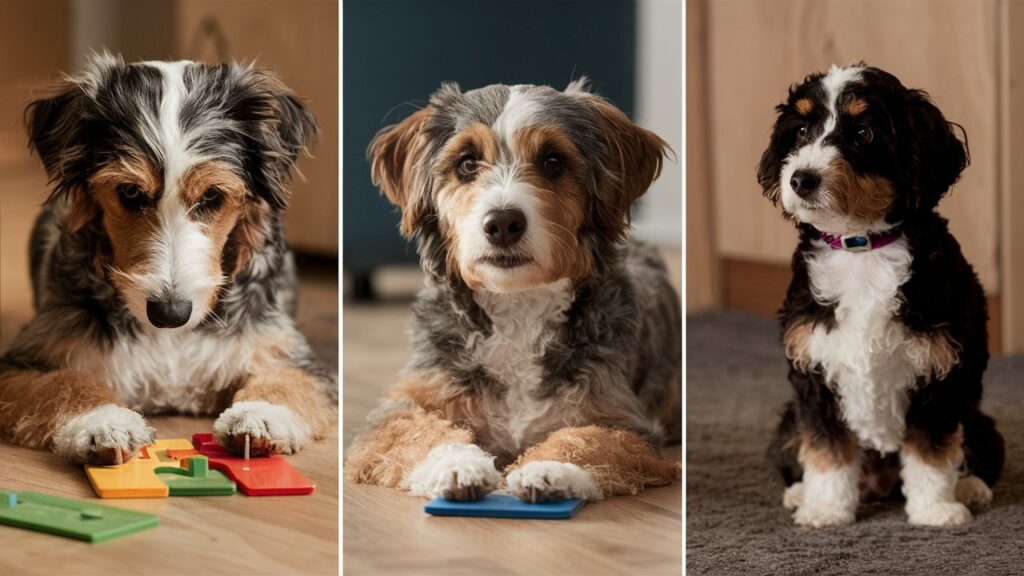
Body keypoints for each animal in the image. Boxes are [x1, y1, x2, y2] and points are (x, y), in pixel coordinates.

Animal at [0, 53, 335, 463]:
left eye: (212, 196)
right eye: (129, 192)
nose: (170, 313)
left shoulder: (290, 355)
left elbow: (286, 381)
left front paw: (260, 416)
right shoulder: (23, 364)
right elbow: (64, 384)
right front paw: (103, 421)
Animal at [344, 78, 679, 500]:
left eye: (554, 162)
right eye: (467, 163)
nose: (502, 223)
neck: (517, 305)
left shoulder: (628, 424)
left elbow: (587, 437)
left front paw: (548, 468)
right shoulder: (397, 410)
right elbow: (422, 433)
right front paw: (459, 465)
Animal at [765, 62, 1003, 524]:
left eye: (863, 134)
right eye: (800, 131)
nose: (801, 179)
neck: (861, 247)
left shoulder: (940, 371)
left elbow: (931, 450)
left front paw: (935, 510)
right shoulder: (814, 369)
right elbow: (827, 446)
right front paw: (826, 509)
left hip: (980, 420)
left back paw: (970, 489)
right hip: (786, 422)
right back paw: (800, 493)